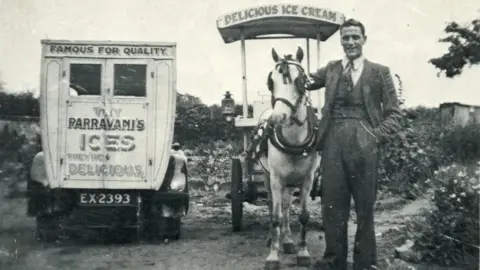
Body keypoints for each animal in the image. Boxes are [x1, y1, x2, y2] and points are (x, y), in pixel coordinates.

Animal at [256, 47, 320, 268]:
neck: (294, 141)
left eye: (300, 80)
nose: (277, 118)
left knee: (285, 206)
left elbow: (303, 215)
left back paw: (287, 239)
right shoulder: (276, 178)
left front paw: (302, 252)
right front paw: (273, 256)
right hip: (268, 177)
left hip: (291, 181)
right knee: (272, 204)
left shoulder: (307, 179)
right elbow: (275, 215)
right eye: (271, 81)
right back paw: (272, 238)